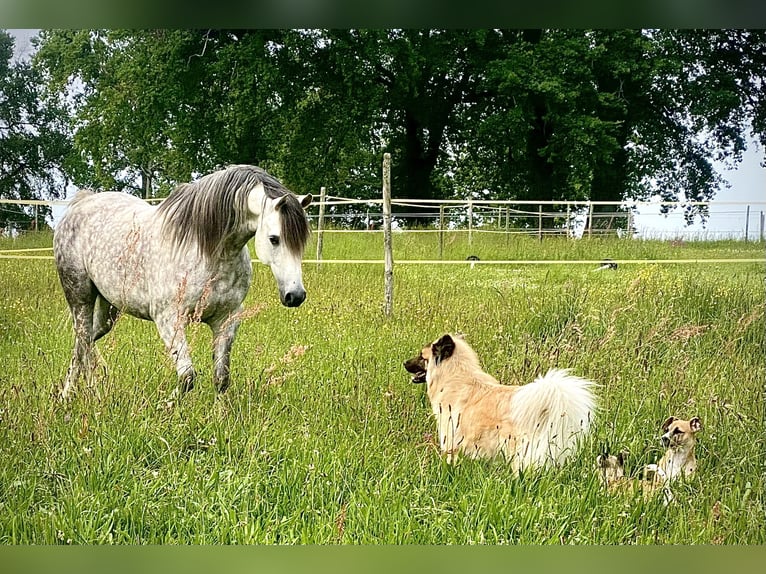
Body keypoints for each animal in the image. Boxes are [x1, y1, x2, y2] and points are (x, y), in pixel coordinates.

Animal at [53, 165, 312, 399]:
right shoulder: (169, 319)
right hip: (80, 297)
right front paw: (166, 407)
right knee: (84, 340)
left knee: (83, 342)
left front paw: (219, 417)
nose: (295, 295)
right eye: (274, 239)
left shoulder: (226, 320)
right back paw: (84, 395)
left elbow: (221, 379)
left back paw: (76, 394)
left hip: (108, 309)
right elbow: (188, 377)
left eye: (302, 242)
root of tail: (82, 203)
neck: (206, 250)